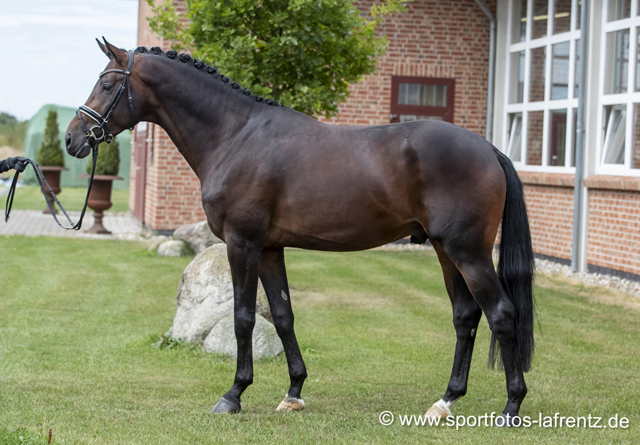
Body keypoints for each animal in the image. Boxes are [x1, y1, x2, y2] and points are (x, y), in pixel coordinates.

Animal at [63, 39, 536, 424]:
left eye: (107, 84)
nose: (72, 139)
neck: (235, 135)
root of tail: (489, 149)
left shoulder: (242, 244)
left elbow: (243, 317)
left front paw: (233, 395)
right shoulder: (271, 249)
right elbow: (283, 316)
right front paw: (293, 393)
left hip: (468, 252)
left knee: (501, 313)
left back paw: (511, 407)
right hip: (444, 249)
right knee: (465, 316)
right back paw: (445, 401)